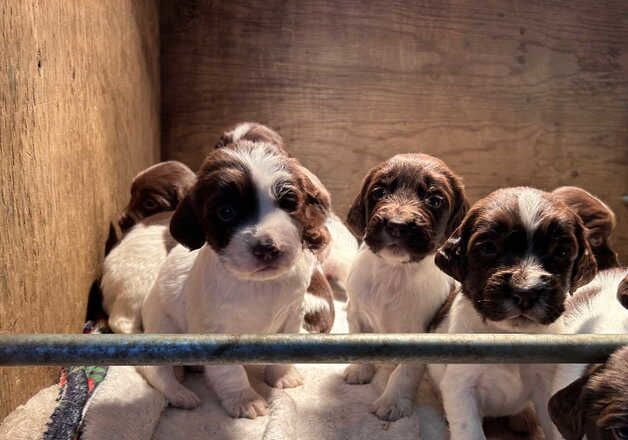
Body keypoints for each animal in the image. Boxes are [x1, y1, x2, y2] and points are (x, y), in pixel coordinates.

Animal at [138, 133, 332, 416]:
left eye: (289, 203)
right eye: (226, 212)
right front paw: (244, 399)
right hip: (163, 332)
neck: (258, 284)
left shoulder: (292, 313)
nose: (267, 248)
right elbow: (231, 373)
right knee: (154, 371)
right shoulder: (217, 331)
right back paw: (180, 393)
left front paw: (281, 376)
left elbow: (283, 350)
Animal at [340, 153, 468, 422]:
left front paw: (392, 401)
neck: (393, 271)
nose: (397, 225)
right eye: (379, 192)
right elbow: (357, 338)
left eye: (434, 200)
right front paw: (359, 370)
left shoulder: (420, 332)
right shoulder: (356, 311)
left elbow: (405, 372)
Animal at [426, 186, 600, 440]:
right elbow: (470, 431)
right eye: (488, 248)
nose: (526, 292)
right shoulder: (461, 386)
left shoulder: (546, 383)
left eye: (562, 251)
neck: (509, 337)